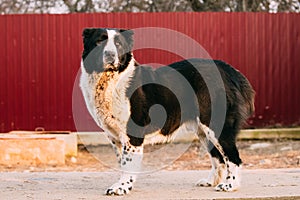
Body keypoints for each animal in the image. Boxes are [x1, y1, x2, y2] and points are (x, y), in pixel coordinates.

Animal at [78, 28, 254, 195]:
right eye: (99, 42)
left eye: (118, 44)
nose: (110, 54)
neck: (110, 80)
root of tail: (226, 69)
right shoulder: (114, 137)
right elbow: (122, 162)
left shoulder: (132, 134)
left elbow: (128, 164)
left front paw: (122, 187)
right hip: (204, 130)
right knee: (218, 158)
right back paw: (211, 181)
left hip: (216, 126)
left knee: (233, 157)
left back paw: (230, 185)